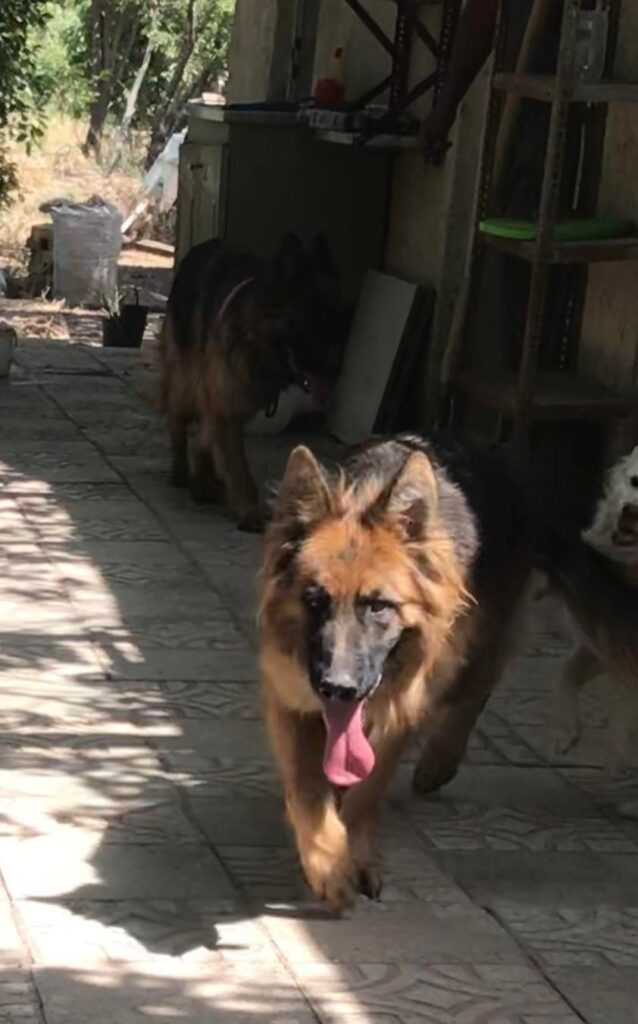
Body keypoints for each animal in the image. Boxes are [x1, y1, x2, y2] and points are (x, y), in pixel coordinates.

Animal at [160, 234, 345, 531]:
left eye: (338, 320)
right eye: (308, 323)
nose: (335, 367)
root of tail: (201, 246)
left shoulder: (228, 402)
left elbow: (210, 439)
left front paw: (208, 483)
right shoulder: (226, 405)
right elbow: (237, 466)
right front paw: (249, 510)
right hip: (187, 383)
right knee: (178, 419)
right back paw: (180, 472)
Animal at [259, 435, 535, 908]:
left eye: (378, 606)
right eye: (314, 600)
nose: (337, 688)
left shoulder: (401, 708)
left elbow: (369, 788)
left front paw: (353, 853)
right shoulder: (291, 699)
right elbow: (308, 785)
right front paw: (327, 860)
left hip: (477, 651)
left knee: (477, 690)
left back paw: (439, 761)